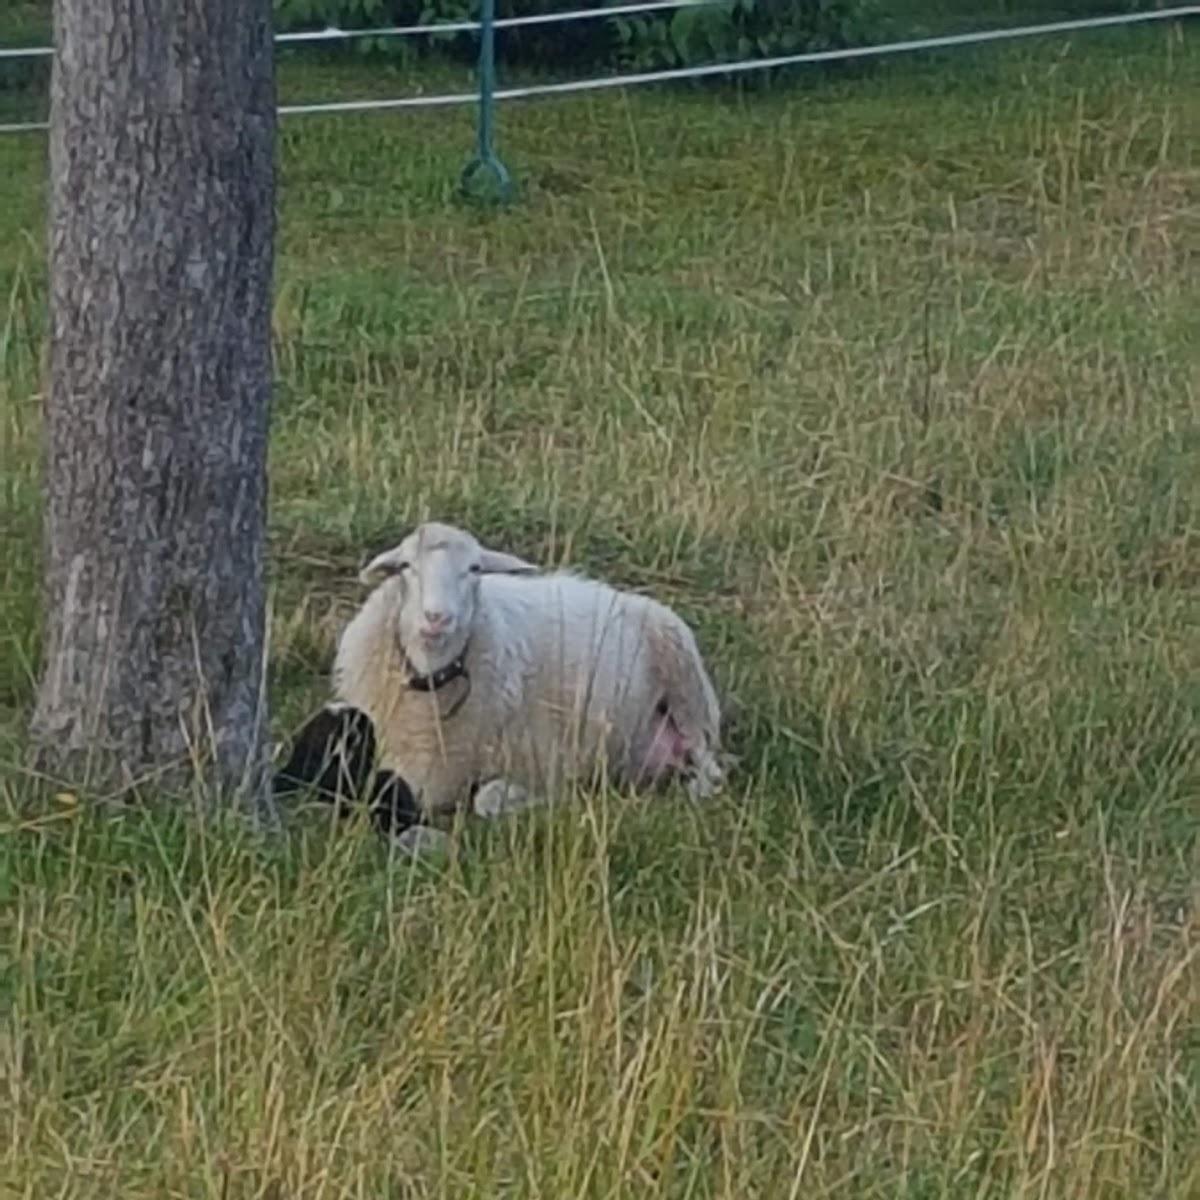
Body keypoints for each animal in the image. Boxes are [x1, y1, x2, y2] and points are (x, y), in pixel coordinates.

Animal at [328, 520, 720, 830]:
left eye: (474, 568)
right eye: (406, 566)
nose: (436, 618)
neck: (428, 672)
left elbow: (488, 798)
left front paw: (532, 798)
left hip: (689, 689)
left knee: (709, 764)